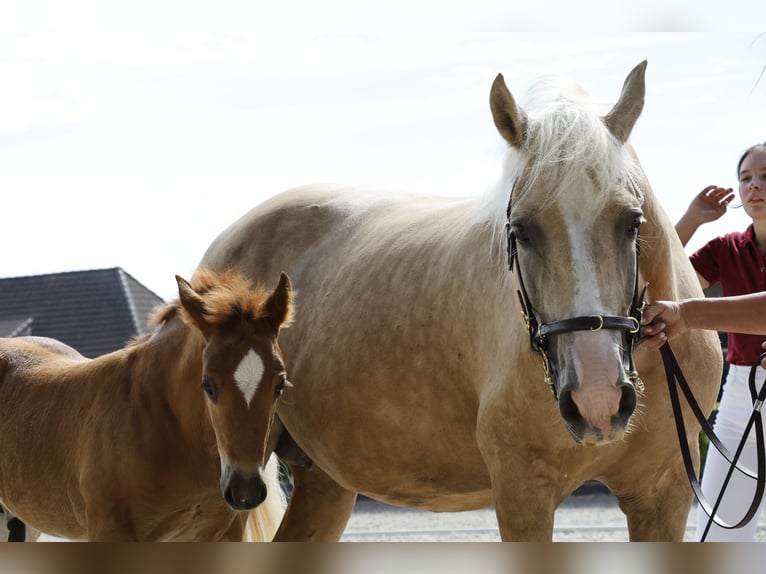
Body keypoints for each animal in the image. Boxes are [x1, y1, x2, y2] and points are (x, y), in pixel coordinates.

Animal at [198, 60, 728, 544]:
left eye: (633, 223)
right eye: (521, 232)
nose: (597, 399)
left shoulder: (663, 495)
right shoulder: (522, 493)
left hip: (324, 484)